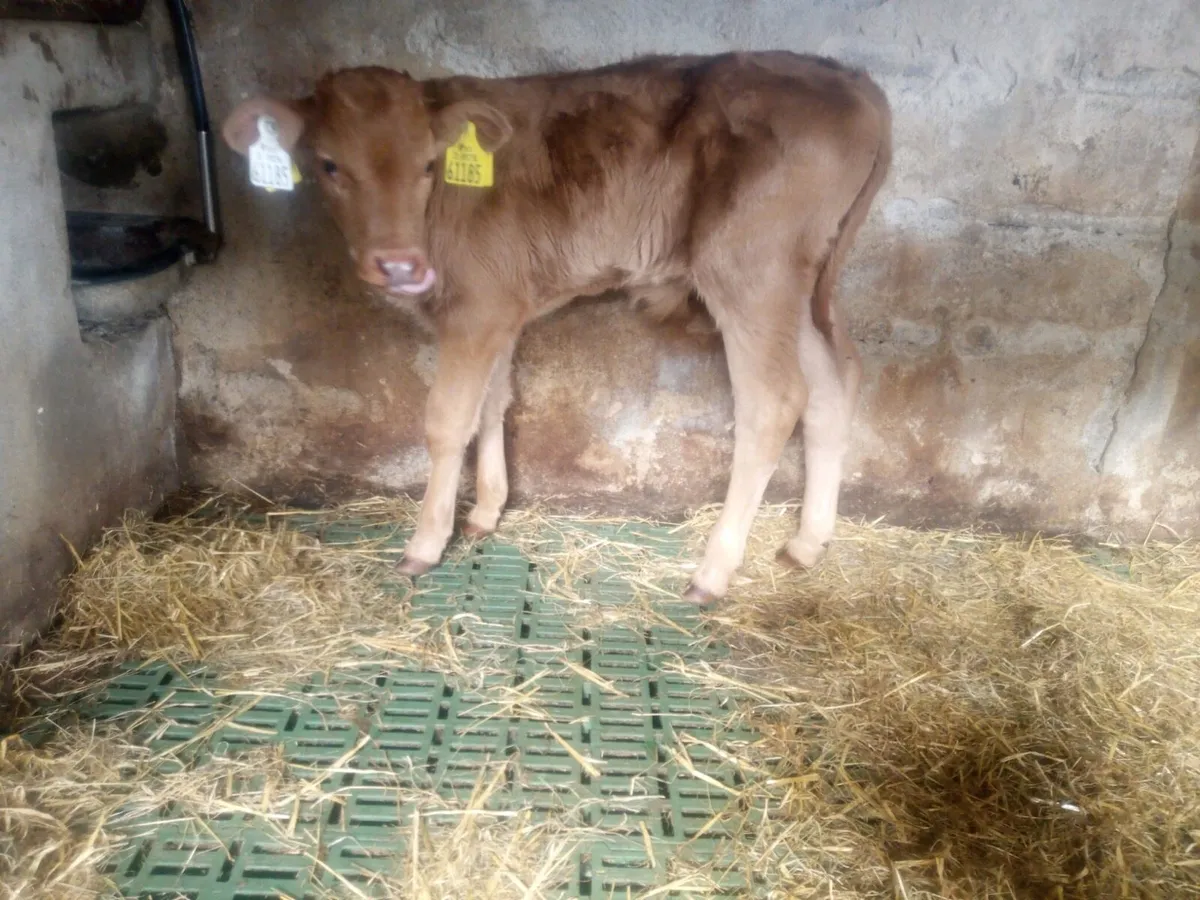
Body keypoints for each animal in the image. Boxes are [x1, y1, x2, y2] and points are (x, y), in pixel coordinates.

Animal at [221, 52, 891, 605]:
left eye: (429, 165)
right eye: (329, 164)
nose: (400, 265)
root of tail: (848, 78)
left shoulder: (476, 310)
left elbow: (446, 422)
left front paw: (426, 543)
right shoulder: (499, 310)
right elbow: (493, 402)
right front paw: (486, 512)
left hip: (750, 273)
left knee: (773, 403)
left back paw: (713, 571)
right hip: (797, 288)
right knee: (833, 383)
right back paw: (807, 543)